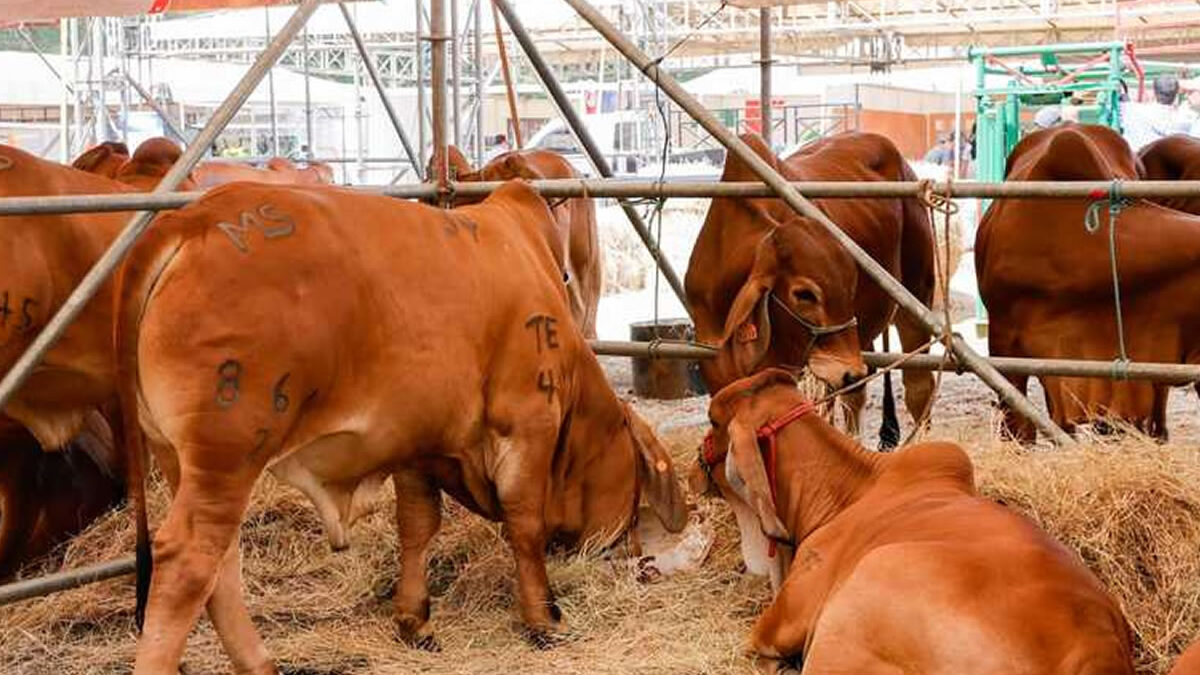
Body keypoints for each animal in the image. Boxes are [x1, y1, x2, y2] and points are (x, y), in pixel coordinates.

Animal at [117, 177, 691, 667]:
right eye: (636, 488)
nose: (637, 557)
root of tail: (192, 220)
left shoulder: (417, 444)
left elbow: (417, 526)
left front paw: (414, 620)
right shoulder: (526, 421)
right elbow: (524, 526)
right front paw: (543, 619)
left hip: (181, 459)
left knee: (223, 566)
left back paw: (259, 662)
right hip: (228, 452)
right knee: (188, 561)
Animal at [686, 132, 936, 446]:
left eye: (851, 285)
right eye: (804, 294)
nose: (849, 371)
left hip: (915, 299)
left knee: (918, 388)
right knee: (854, 397)